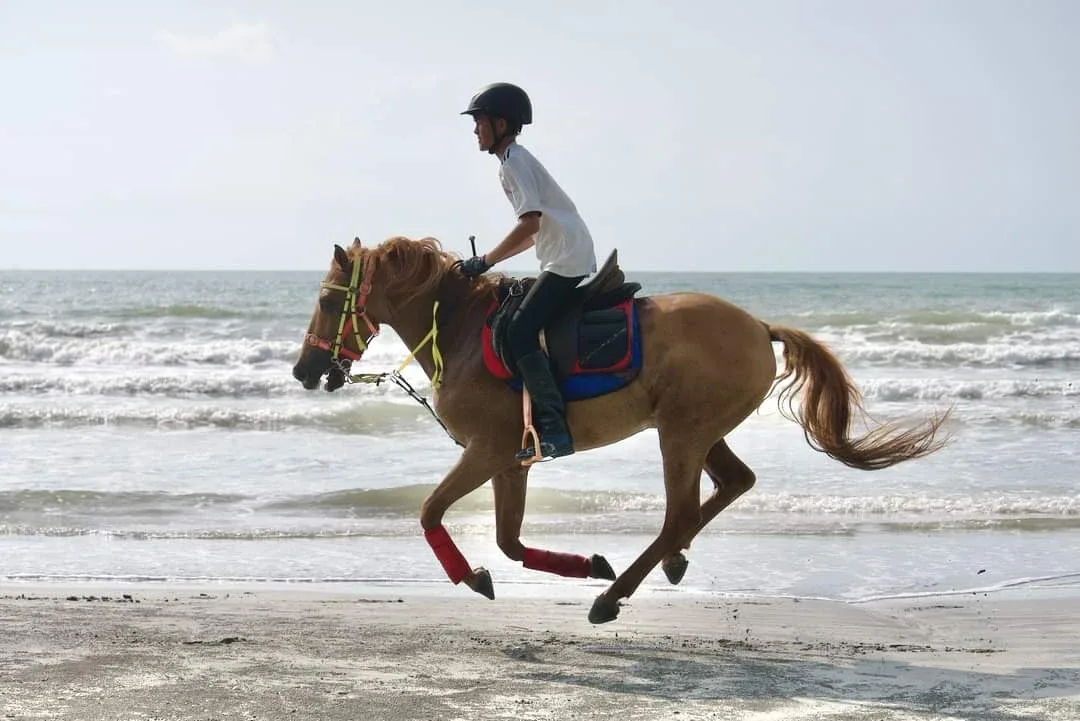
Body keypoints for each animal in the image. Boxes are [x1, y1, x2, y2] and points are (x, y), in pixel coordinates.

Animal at [292, 236, 950, 624]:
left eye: (325, 300)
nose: (304, 370)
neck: (458, 330)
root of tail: (759, 326)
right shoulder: (510, 459)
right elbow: (508, 541)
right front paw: (587, 563)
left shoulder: (486, 451)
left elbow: (431, 511)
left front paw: (472, 578)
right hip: (700, 431)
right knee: (734, 483)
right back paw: (661, 566)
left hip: (681, 435)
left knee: (680, 513)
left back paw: (617, 595)